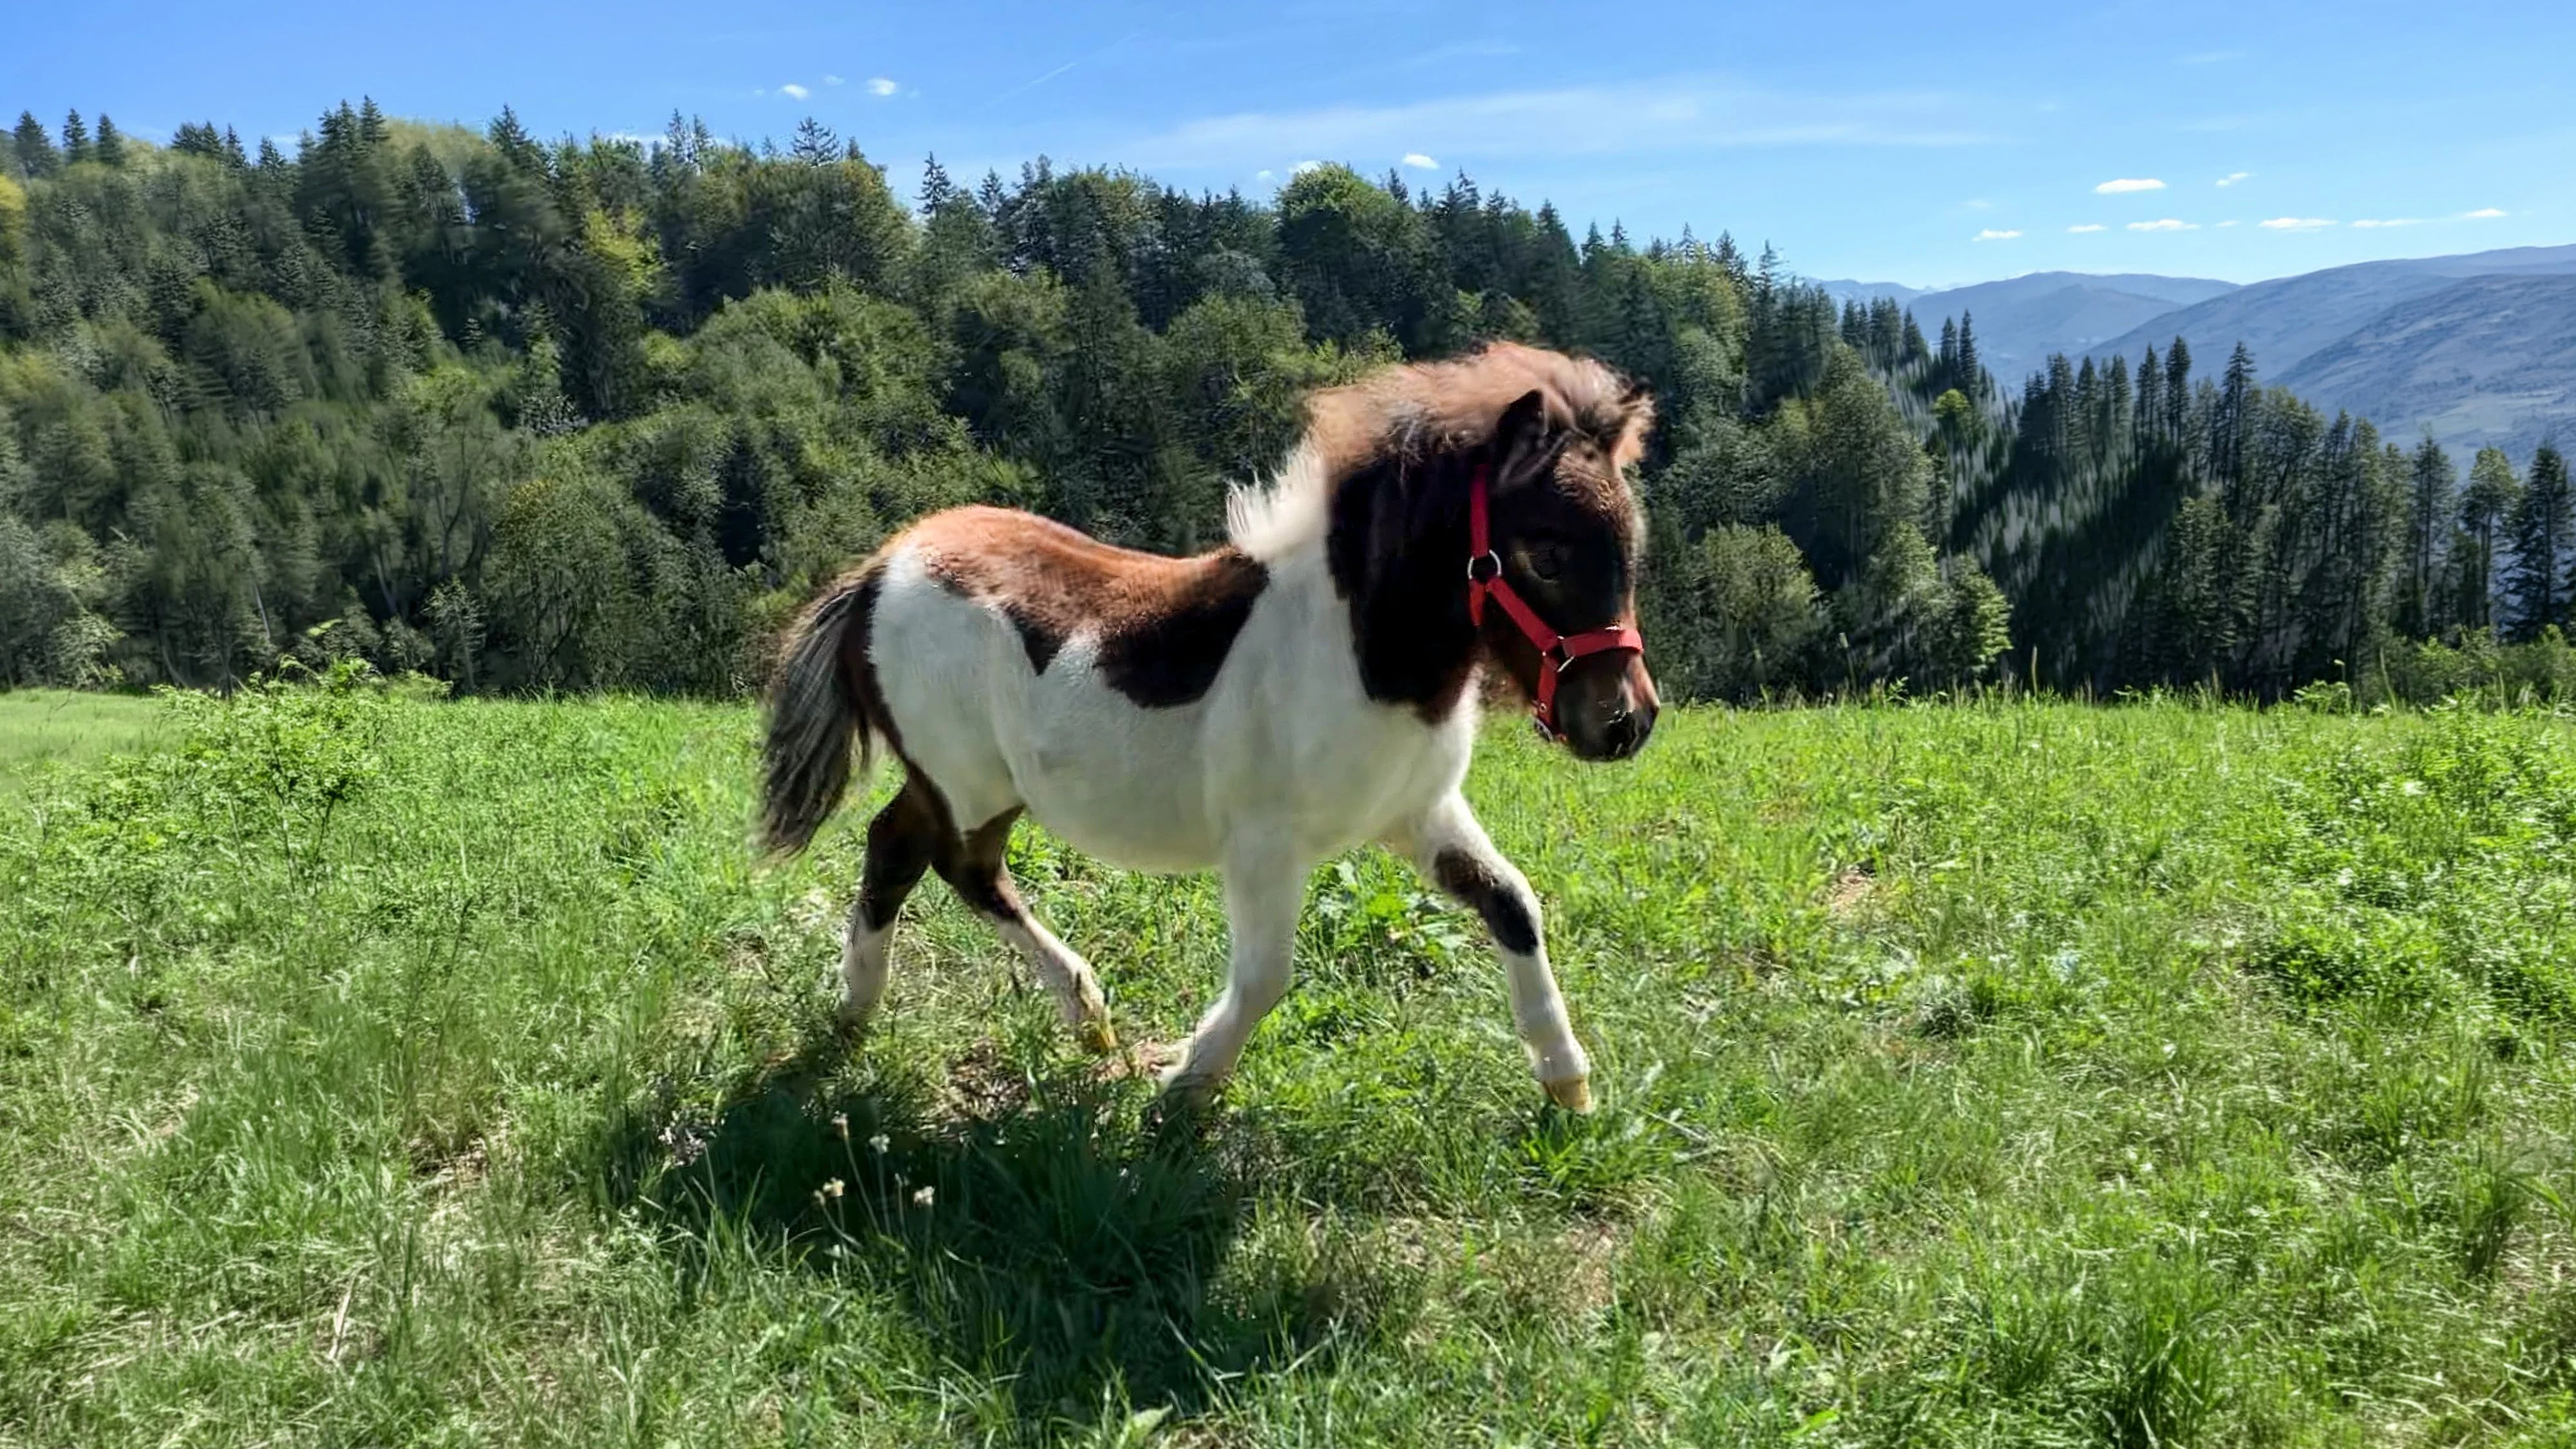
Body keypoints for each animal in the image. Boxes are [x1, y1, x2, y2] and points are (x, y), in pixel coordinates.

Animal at [757, 341, 1659, 1112]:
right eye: (1545, 552)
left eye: (1629, 546)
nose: (1625, 723)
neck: (1359, 656)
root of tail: (880, 570)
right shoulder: (1264, 843)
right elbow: (1265, 977)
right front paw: (1187, 1081)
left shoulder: (1417, 813)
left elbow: (1513, 902)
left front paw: (1568, 1082)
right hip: (968, 784)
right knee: (953, 867)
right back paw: (1073, 1010)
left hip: (959, 782)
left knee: (896, 848)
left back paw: (870, 1011)